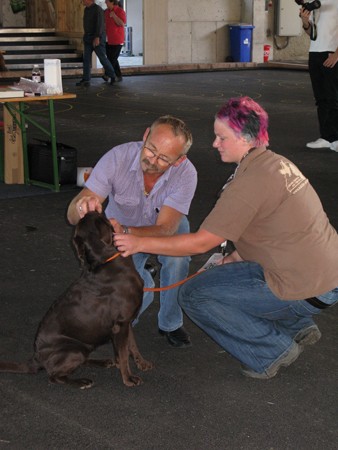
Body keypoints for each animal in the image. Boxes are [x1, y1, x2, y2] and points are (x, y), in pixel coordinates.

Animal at [0, 213, 153, 388]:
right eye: (101, 215)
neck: (105, 258)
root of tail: (36, 357)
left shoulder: (126, 321)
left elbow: (132, 345)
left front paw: (142, 363)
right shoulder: (120, 324)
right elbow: (123, 354)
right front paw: (128, 378)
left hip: (84, 346)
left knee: (81, 362)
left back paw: (103, 362)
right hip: (74, 349)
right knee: (54, 376)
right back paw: (82, 381)